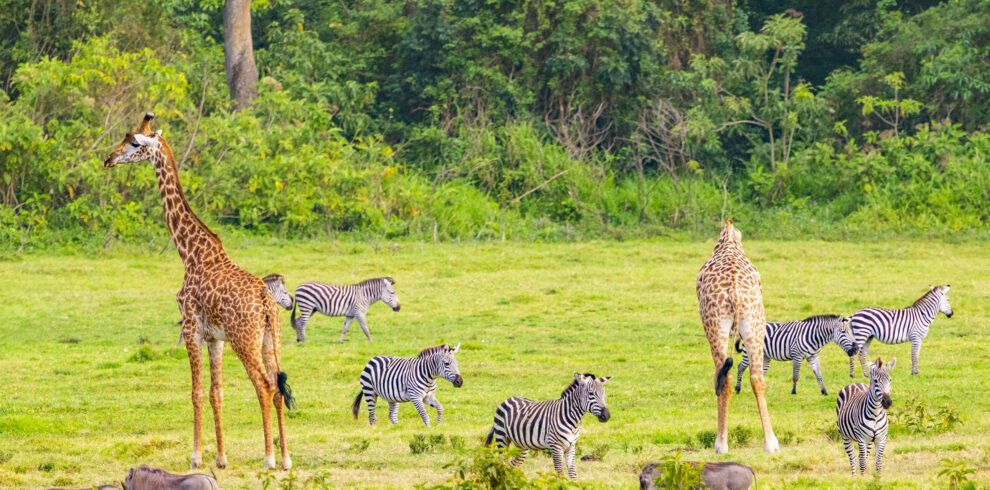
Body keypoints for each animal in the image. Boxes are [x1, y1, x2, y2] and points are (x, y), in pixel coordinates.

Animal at [103, 113, 294, 470]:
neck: (189, 252)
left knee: (263, 386)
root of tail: (266, 301)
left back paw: (269, 459)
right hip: (271, 338)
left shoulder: (191, 327)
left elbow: (195, 392)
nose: (108, 159)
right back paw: (287, 458)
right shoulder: (215, 337)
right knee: (277, 386)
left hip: (244, 339)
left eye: (134, 143)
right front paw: (220, 458)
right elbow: (215, 393)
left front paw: (195, 458)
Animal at [696, 219, 779, 454]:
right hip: (755, 322)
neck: (729, 241)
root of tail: (734, 290)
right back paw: (771, 443)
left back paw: (721, 444)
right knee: (757, 377)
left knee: (724, 377)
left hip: (714, 323)